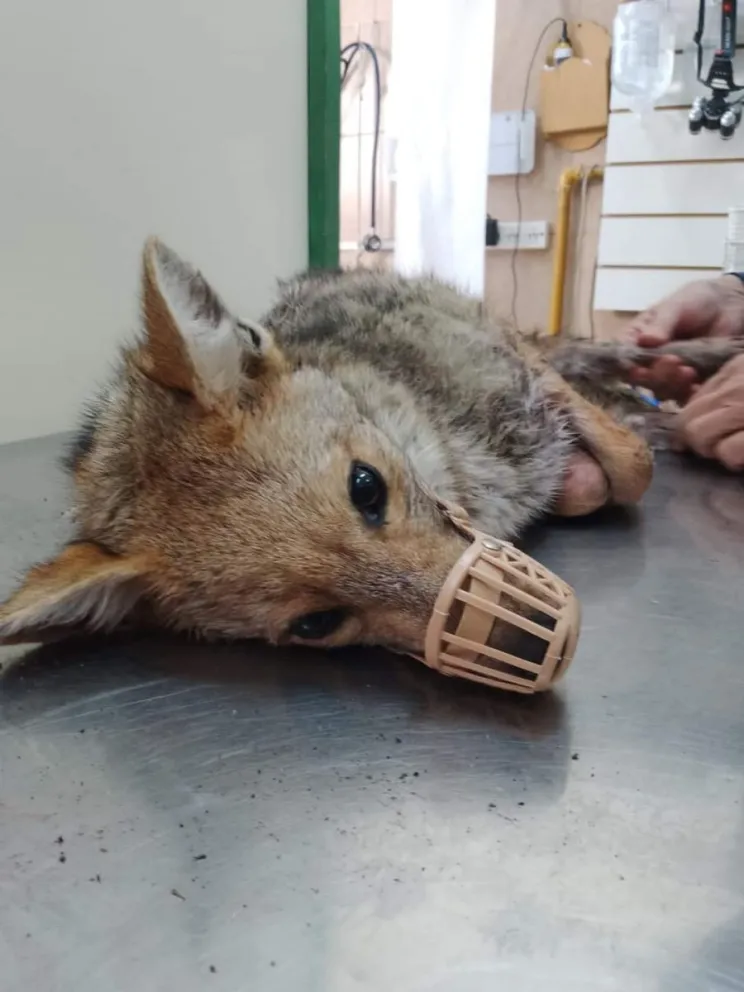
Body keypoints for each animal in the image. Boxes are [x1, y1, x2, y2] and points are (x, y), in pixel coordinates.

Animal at [0, 239, 740, 662]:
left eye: (367, 487)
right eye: (316, 624)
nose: (535, 635)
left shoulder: (528, 377)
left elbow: (630, 466)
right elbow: (599, 475)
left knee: (609, 359)